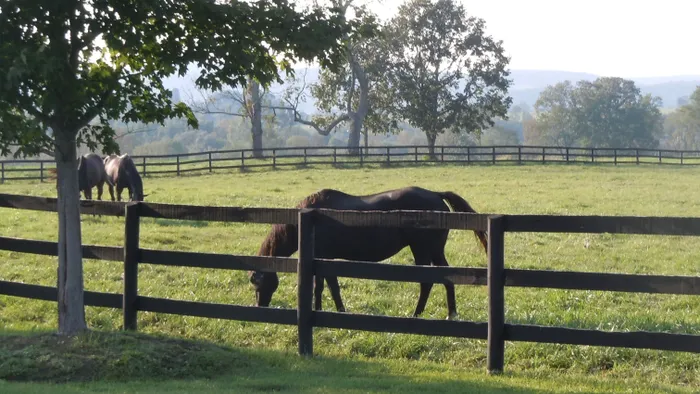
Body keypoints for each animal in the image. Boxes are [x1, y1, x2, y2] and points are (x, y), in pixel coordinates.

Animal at [250, 187, 486, 320]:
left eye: (257, 284)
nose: (261, 307)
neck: (307, 221)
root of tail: (435, 196)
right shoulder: (324, 259)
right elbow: (327, 286)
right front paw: (331, 310)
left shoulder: (323, 256)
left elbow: (325, 286)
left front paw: (328, 310)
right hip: (435, 250)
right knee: (447, 276)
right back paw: (451, 313)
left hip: (421, 250)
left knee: (426, 282)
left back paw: (416, 314)